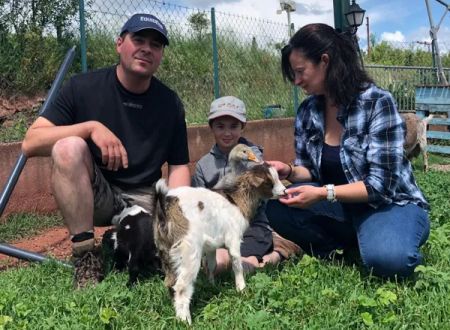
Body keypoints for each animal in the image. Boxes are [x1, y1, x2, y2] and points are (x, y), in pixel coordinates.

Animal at [151, 164, 284, 324]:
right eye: (269, 182)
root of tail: (165, 210)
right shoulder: (233, 239)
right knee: (181, 286)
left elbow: (212, 265)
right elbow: (237, 264)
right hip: (189, 251)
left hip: (165, 250)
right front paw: (242, 289)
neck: (236, 201)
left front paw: (212, 285)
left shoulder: (211, 246)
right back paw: (185, 321)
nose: (284, 191)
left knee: (170, 282)